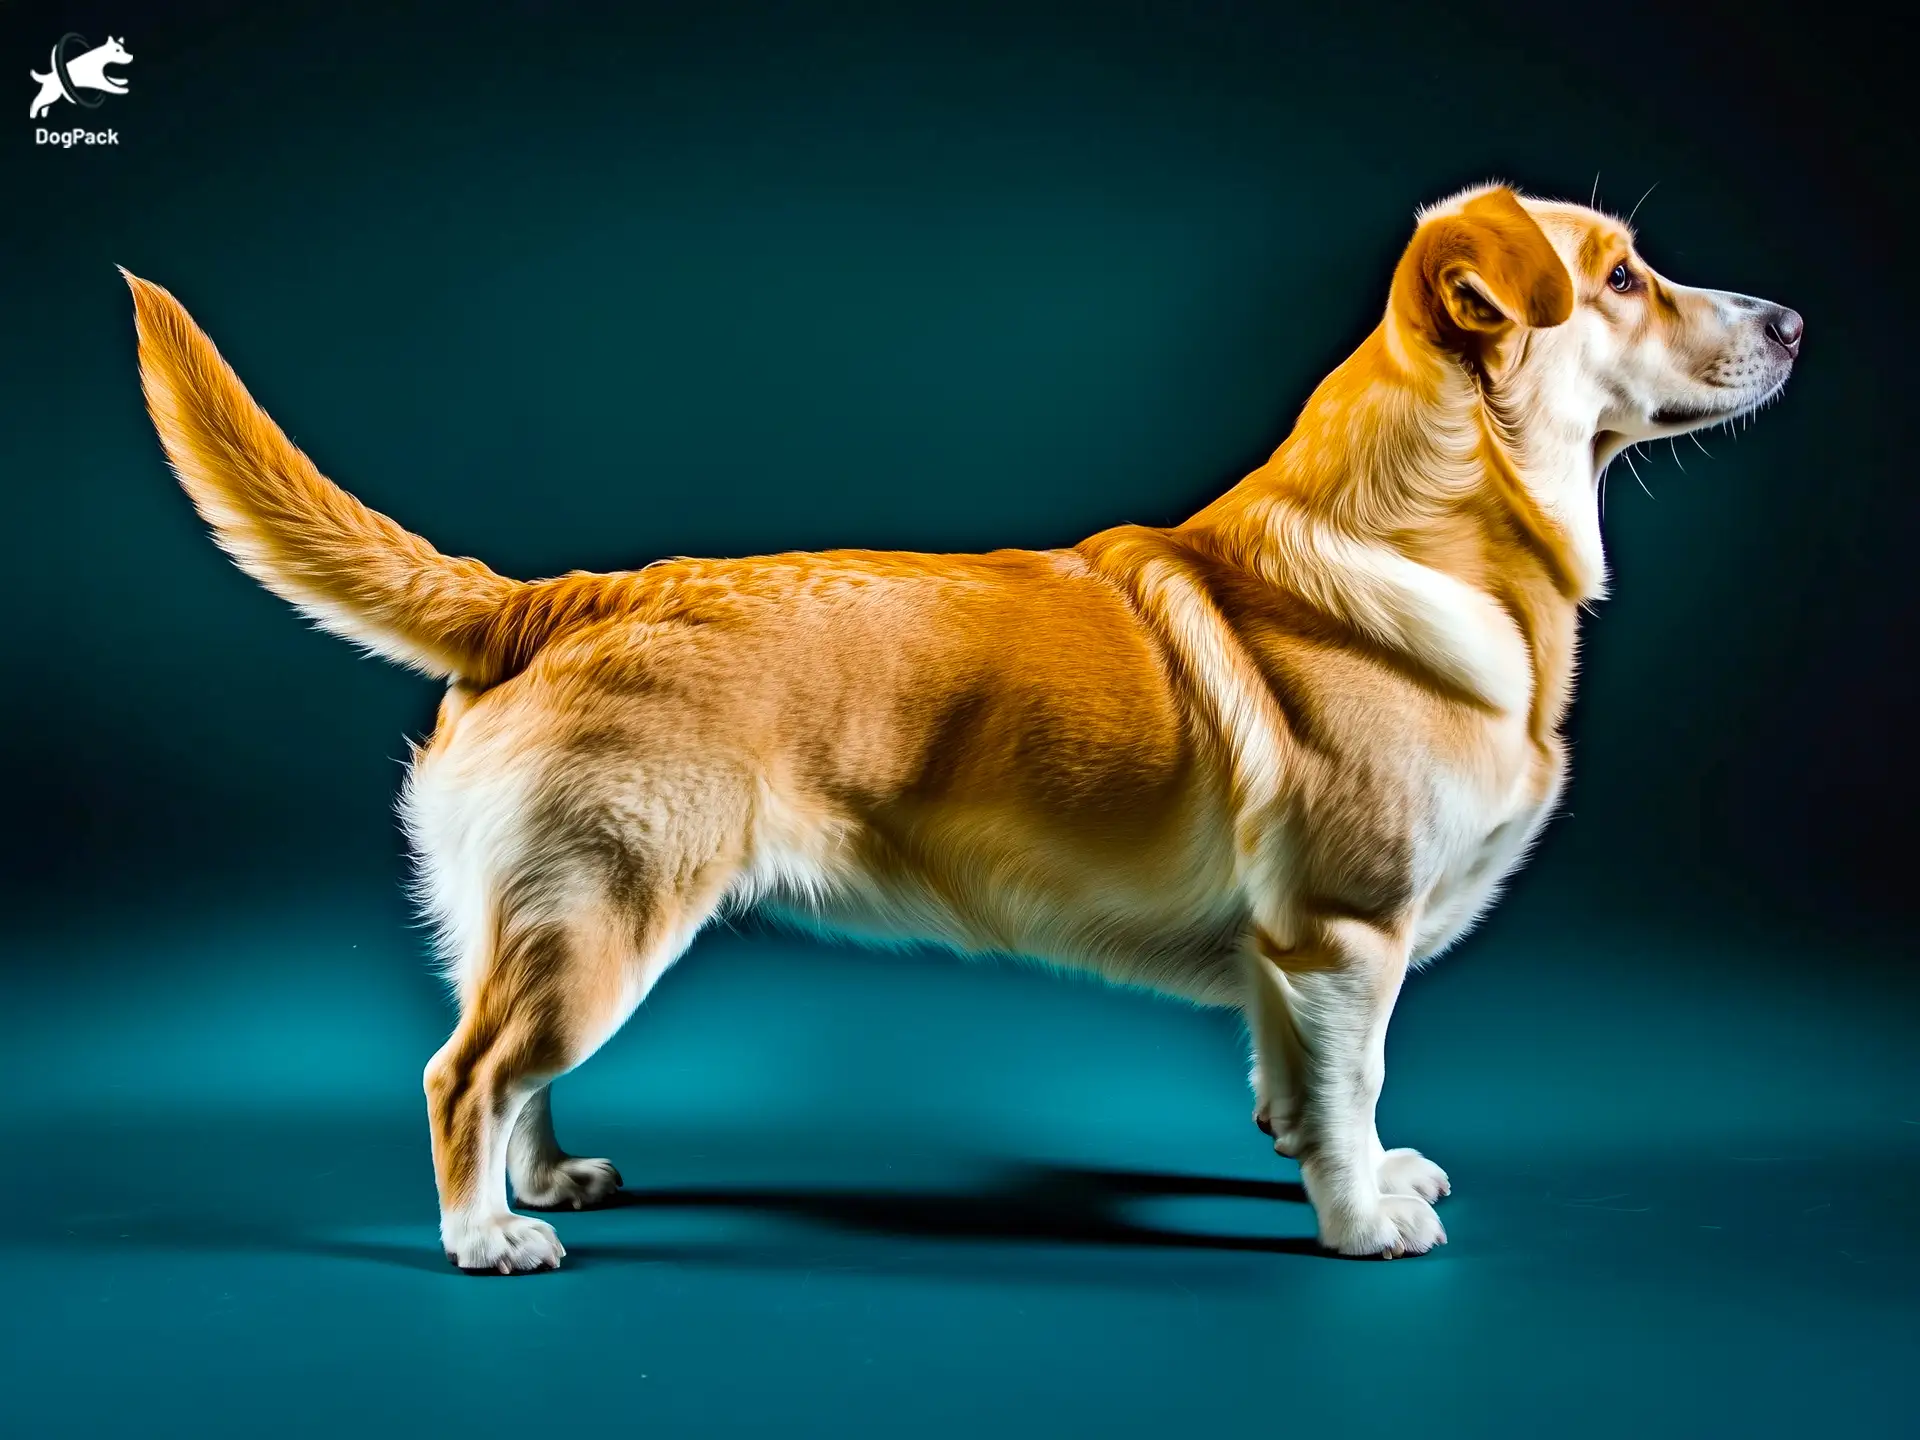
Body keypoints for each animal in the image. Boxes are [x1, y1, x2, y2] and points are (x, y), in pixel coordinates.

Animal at [123, 183, 1797, 1274]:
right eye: (1624, 277)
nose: (1791, 315)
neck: (1434, 528)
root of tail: (561, 599)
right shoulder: (1344, 932)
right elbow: (1353, 1079)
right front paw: (1364, 1219)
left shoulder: (1292, 957)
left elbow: (1306, 1089)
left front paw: (1347, 1171)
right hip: (608, 919)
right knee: (461, 1074)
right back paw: (489, 1236)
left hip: (556, 919)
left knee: (510, 1067)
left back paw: (558, 1183)